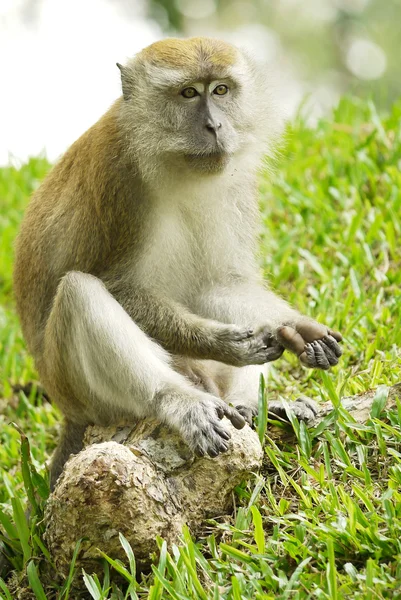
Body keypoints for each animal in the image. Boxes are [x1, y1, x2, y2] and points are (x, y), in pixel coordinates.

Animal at [14, 37, 342, 490]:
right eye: (189, 93)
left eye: (220, 90)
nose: (215, 126)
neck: (172, 163)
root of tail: (70, 415)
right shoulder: (118, 180)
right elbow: (116, 286)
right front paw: (220, 343)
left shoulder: (237, 185)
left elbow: (219, 285)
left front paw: (299, 328)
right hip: (80, 393)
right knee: (80, 292)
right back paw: (181, 402)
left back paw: (251, 406)